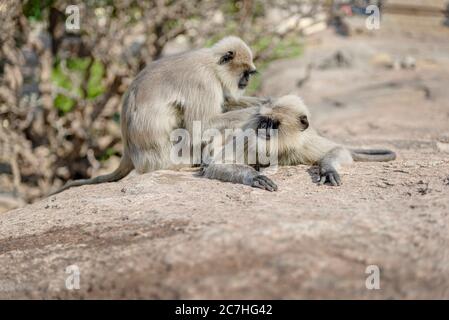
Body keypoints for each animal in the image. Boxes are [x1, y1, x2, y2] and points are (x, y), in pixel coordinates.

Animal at [51, 36, 266, 194]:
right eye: (245, 73)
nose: (246, 81)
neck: (211, 64)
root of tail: (128, 151)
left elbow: (226, 102)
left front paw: (266, 102)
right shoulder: (203, 81)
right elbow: (203, 126)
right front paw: (260, 112)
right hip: (169, 159)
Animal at [200, 94, 396, 190]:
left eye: (273, 123)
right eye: (263, 120)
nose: (262, 127)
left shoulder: (303, 143)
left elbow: (338, 149)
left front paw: (328, 170)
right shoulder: (249, 135)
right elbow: (218, 165)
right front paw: (255, 176)